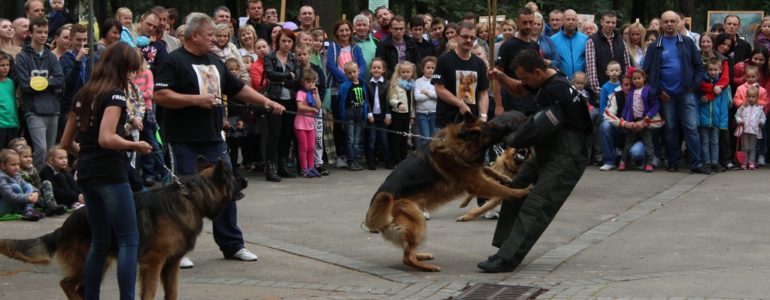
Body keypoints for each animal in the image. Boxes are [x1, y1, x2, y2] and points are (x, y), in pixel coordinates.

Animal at [0, 158, 246, 298]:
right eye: (233, 176)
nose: (244, 178)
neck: (192, 198)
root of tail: (64, 226)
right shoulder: (153, 263)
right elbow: (149, 294)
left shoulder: (171, 264)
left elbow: (172, 294)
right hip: (90, 262)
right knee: (67, 284)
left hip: (100, 262)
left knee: (81, 287)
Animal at [364, 112, 532, 272]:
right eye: (491, 127)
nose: (516, 122)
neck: (457, 144)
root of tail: (373, 211)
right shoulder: (477, 183)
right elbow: (502, 189)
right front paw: (522, 191)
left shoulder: (473, 169)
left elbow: (488, 169)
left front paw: (504, 177)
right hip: (417, 220)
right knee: (407, 258)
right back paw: (427, 267)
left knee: (408, 251)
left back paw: (421, 256)